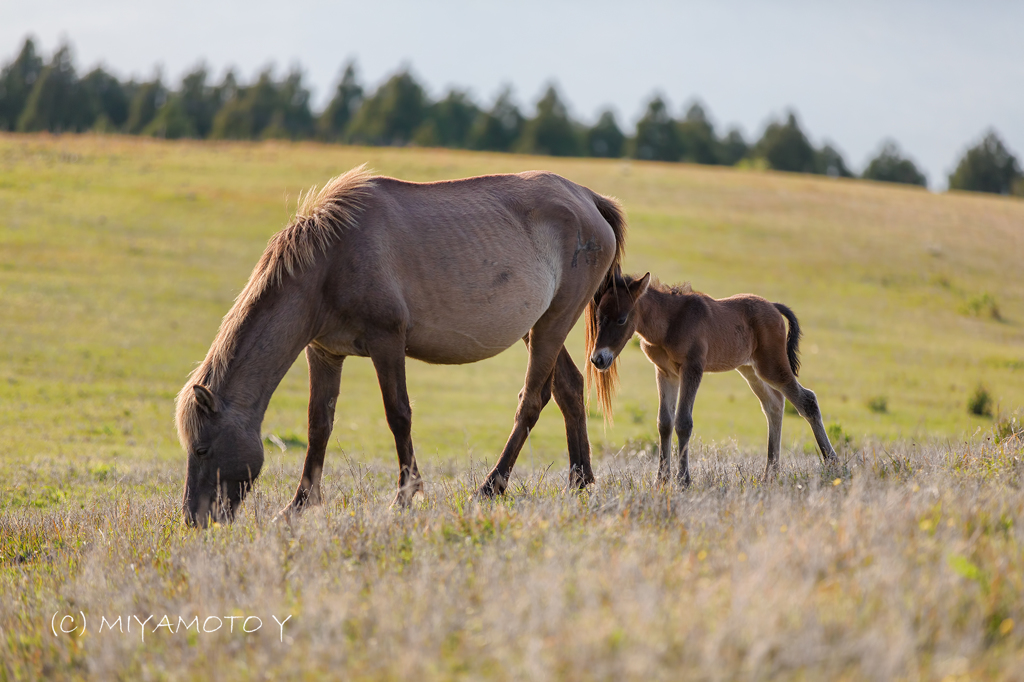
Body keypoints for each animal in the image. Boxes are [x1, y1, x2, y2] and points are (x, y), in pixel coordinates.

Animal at [175, 165, 622, 524]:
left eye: (201, 448)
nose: (194, 519)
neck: (331, 261)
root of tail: (588, 199)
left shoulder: (386, 341)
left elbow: (398, 415)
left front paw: (405, 497)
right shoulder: (325, 352)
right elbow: (319, 424)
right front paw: (298, 505)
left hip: (553, 324)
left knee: (531, 400)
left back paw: (490, 487)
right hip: (538, 327)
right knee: (568, 389)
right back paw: (580, 481)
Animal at [589, 270, 835, 483]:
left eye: (621, 319)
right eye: (598, 316)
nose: (598, 359)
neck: (669, 323)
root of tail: (773, 306)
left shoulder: (692, 369)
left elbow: (683, 422)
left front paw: (683, 480)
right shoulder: (665, 372)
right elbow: (664, 422)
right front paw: (661, 480)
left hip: (771, 366)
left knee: (806, 399)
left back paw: (832, 463)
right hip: (749, 369)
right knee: (774, 404)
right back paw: (770, 474)